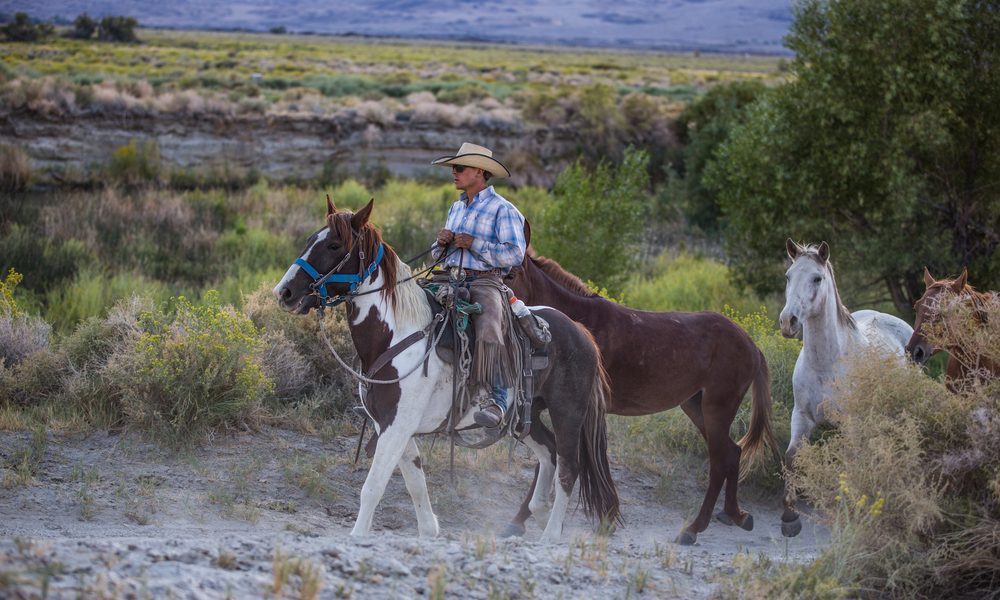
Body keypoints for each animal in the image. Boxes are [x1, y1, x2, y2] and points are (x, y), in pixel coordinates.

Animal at [272, 199, 616, 540]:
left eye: (334, 244)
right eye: (309, 240)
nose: (284, 292)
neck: (397, 336)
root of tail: (580, 332)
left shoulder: (397, 425)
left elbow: (373, 486)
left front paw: (358, 535)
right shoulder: (390, 425)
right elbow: (415, 481)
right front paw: (429, 530)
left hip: (567, 412)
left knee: (569, 467)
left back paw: (551, 535)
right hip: (524, 416)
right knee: (549, 453)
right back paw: (539, 513)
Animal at [504, 245, 792, 544]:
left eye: (510, 275)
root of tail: (751, 344)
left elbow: (562, 458)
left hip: (717, 408)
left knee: (720, 460)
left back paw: (693, 528)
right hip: (696, 406)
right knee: (733, 453)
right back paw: (735, 515)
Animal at [776, 239, 912, 536]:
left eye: (817, 278)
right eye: (788, 276)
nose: (788, 322)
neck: (825, 364)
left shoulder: (849, 423)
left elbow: (848, 464)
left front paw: (847, 512)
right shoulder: (801, 416)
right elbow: (792, 457)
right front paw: (790, 518)